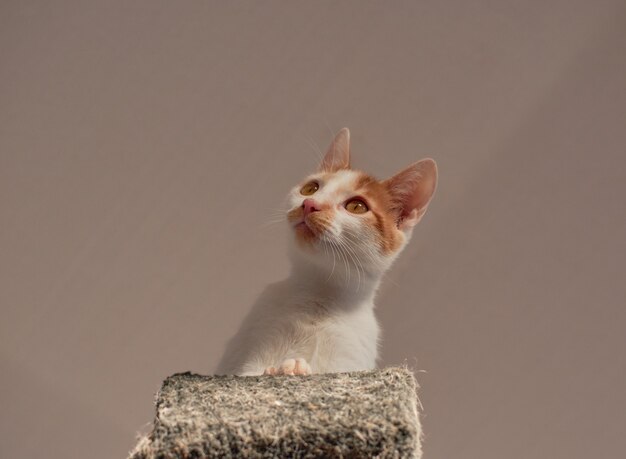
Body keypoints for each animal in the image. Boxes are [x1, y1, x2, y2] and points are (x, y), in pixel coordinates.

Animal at [217, 127, 436, 376]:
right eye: (310, 188)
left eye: (357, 206)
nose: (310, 204)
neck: (320, 298)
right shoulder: (246, 347)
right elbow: (249, 372)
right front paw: (279, 369)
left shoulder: (350, 360)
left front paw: (294, 367)